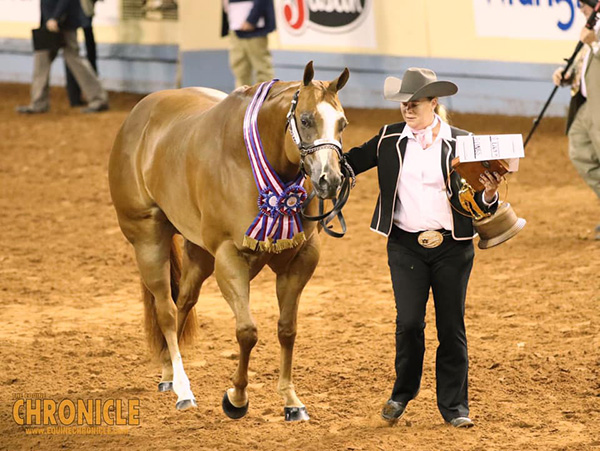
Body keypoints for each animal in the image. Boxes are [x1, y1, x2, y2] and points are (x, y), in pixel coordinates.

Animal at [108, 61, 352, 422]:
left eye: (342, 123)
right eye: (306, 119)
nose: (330, 180)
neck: (249, 163)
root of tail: (138, 115)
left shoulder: (300, 259)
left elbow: (287, 329)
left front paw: (291, 399)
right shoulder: (228, 257)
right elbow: (247, 331)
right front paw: (236, 398)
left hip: (198, 252)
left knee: (183, 302)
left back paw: (168, 373)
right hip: (148, 240)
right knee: (166, 309)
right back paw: (183, 389)